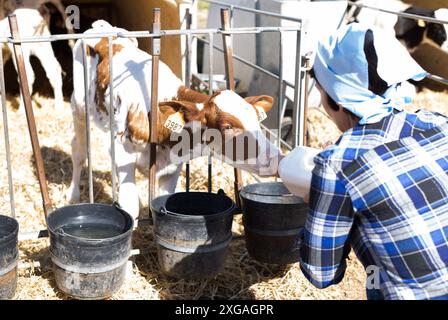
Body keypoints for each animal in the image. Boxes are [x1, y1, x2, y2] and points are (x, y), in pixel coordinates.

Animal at [67, 20, 280, 220]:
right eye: (227, 126)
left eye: (257, 120)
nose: (275, 157)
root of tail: (101, 26)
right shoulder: (123, 152)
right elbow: (130, 207)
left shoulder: (172, 166)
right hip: (79, 108)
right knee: (78, 151)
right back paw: (73, 195)